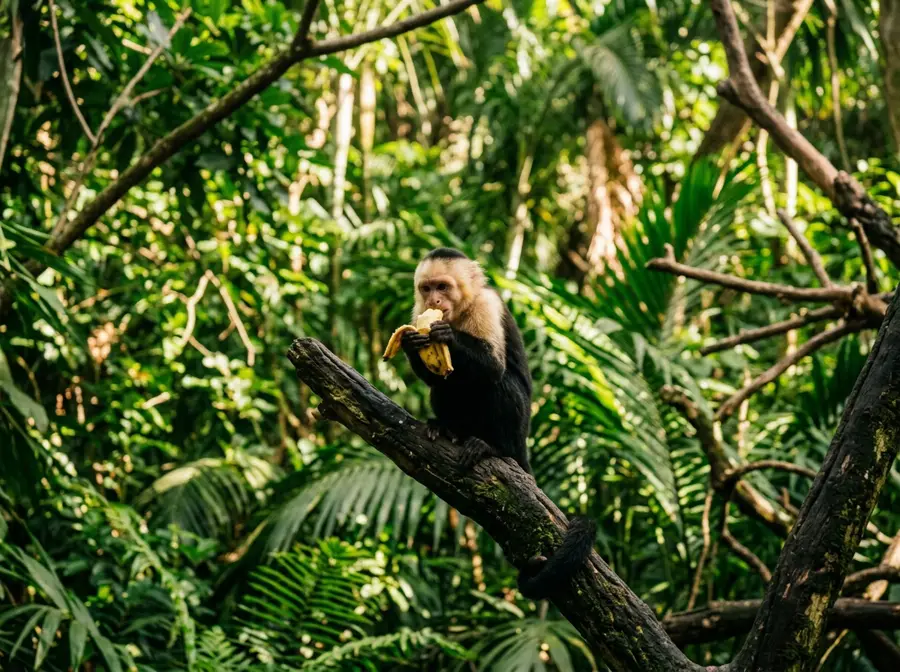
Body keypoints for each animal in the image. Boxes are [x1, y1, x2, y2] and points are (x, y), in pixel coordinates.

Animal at [401, 247, 596, 599]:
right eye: (426, 288)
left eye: (443, 287)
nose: (435, 301)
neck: (460, 311)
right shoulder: (417, 310)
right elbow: (434, 376)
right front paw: (411, 341)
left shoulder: (486, 305)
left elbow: (492, 366)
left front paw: (448, 337)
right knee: (447, 386)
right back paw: (448, 429)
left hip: (518, 432)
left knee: (498, 384)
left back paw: (493, 448)